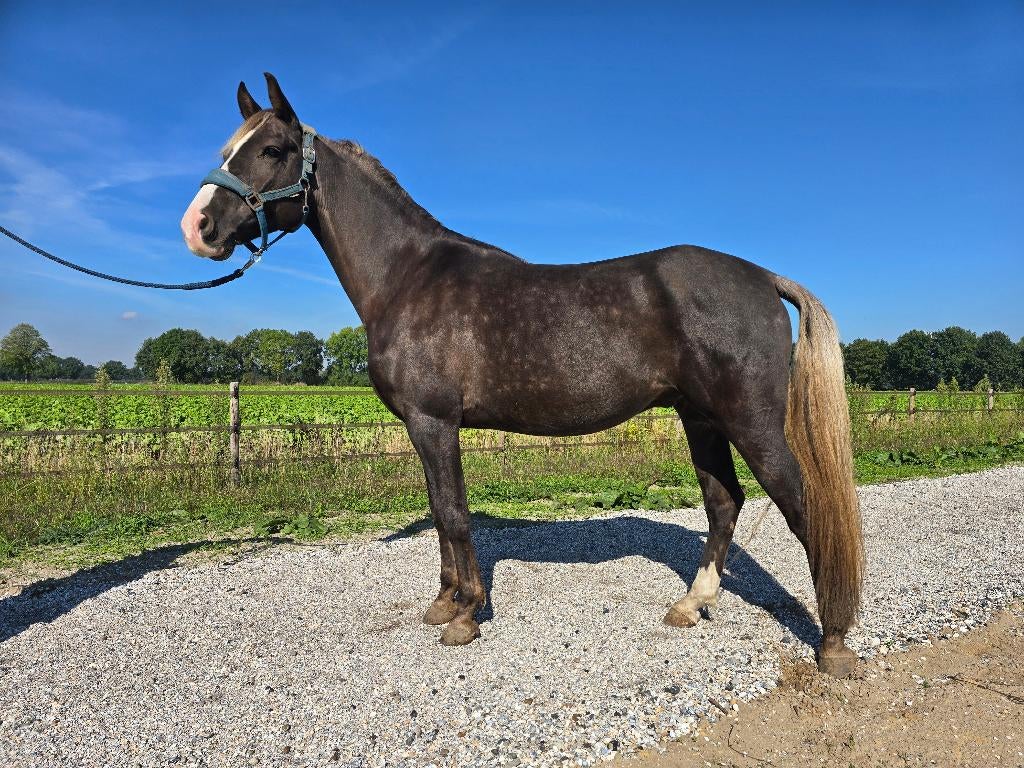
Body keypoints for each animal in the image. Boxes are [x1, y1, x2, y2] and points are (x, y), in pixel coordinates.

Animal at [181, 73, 864, 677]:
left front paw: (464, 615)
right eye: (227, 150)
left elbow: (454, 512)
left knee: (803, 505)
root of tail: (763, 277)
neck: (409, 276)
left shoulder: (434, 422)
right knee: (724, 502)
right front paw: (443, 604)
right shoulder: (426, 429)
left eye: (272, 150)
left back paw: (832, 643)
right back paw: (691, 606)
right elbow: (441, 512)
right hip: (700, 417)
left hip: (750, 420)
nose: (197, 228)